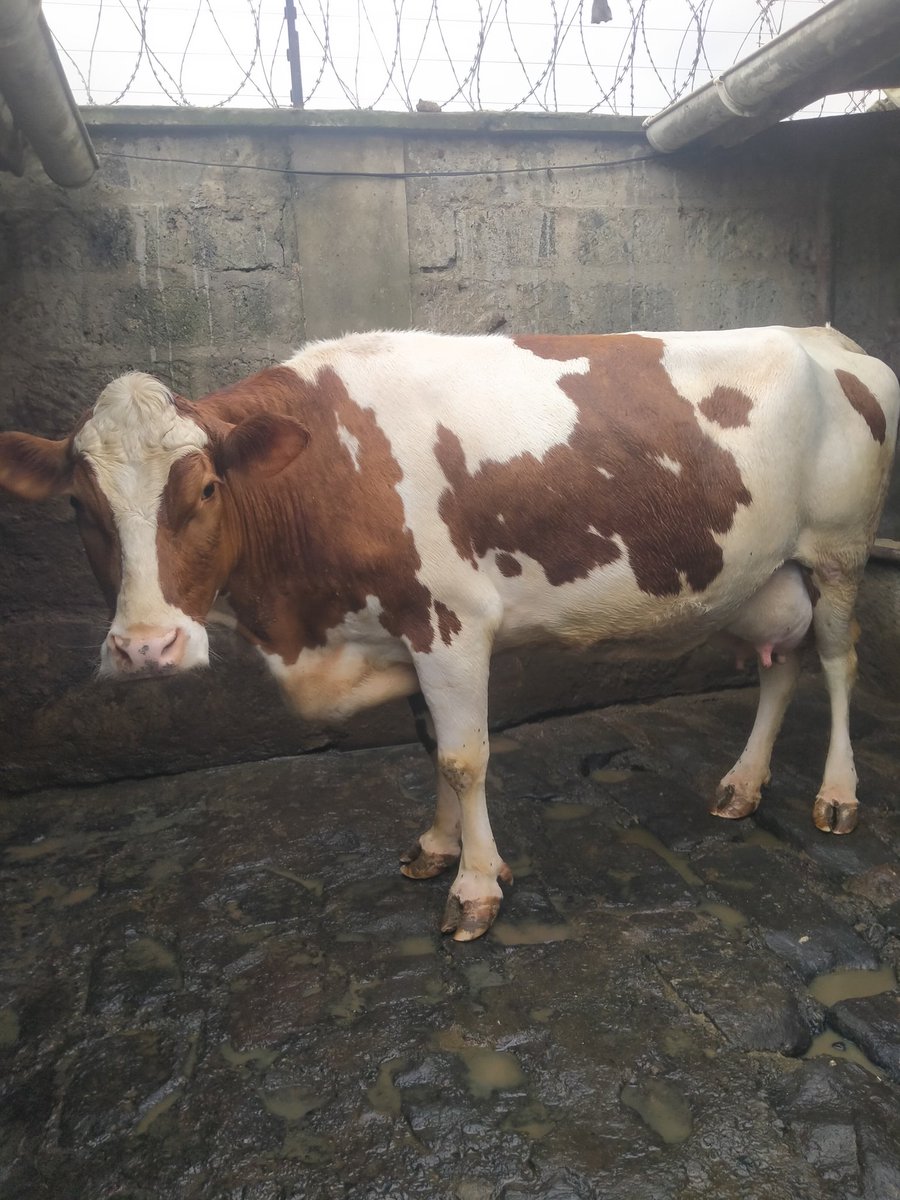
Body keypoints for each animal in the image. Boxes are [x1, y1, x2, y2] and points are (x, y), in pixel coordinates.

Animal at [0, 326, 897, 940]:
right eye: (80, 506)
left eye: (209, 489)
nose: (146, 648)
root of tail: (829, 336)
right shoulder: (402, 634)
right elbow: (433, 747)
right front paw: (438, 846)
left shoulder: (452, 621)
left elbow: (467, 759)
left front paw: (476, 886)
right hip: (766, 572)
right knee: (778, 666)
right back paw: (743, 784)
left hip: (840, 550)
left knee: (837, 661)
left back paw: (838, 794)